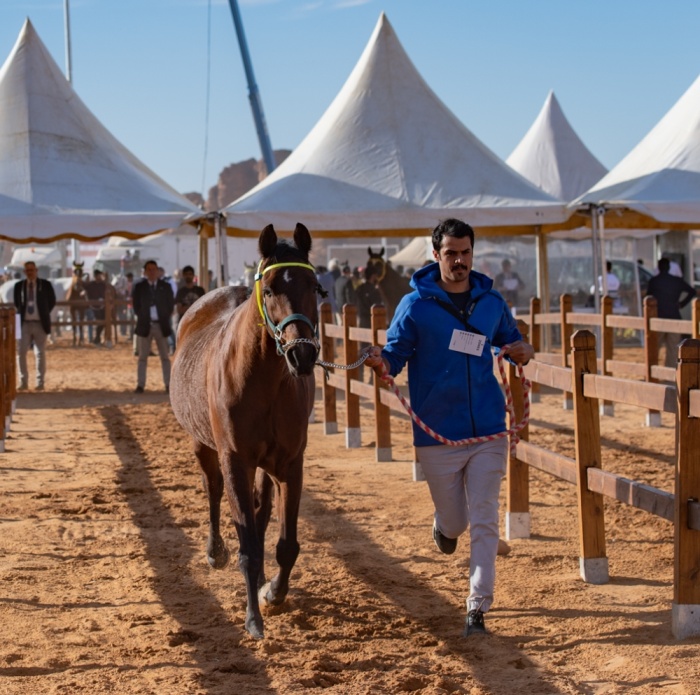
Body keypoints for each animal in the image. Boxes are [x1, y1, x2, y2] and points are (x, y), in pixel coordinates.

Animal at [171, 223, 322, 640]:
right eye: (268, 289)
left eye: (315, 286)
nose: (302, 354)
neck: (265, 380)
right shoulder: (236, 460)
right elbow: (249, 547)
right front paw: (253, 618)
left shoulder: (290, 464)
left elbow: (285, 543)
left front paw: (274, 592)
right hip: (203, 446)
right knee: (213, 490)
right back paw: (215, 551)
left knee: (260, 511)